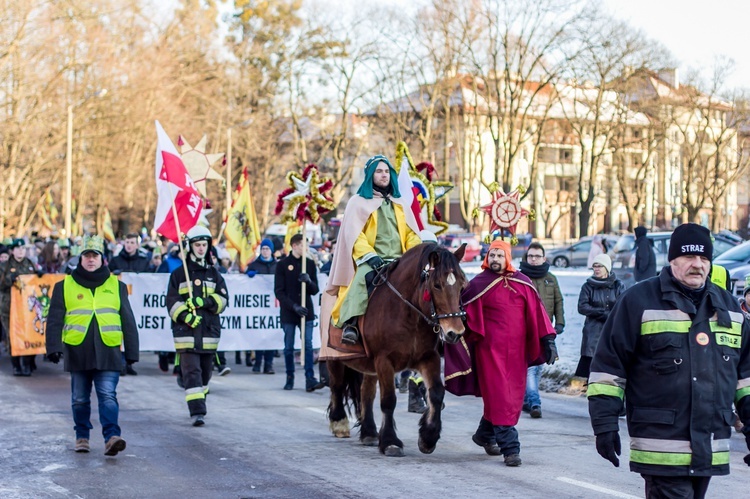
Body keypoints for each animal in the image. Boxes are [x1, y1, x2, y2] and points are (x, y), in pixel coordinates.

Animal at [328, 242, 468, 458]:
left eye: (462, 284)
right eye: (437, 285)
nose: (455, 333)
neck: (409, 313)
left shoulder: (429, 357)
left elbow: (436, 393)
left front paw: (428, 437)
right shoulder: (384, 361)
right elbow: (388, 400)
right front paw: (390, 441)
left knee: (366, 392)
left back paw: (369, 431)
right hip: (333, 356)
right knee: (337, 385)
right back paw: (339, 422)